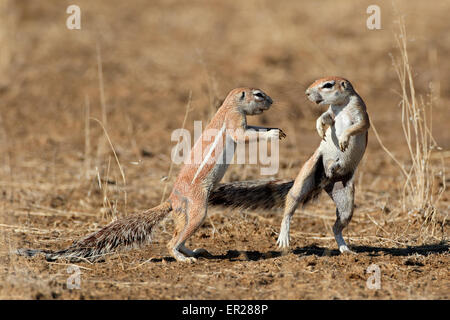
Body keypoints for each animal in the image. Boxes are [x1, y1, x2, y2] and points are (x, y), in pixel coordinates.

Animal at [19, 87, 284, 262]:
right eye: (258, 94)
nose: (272, 100)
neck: (229, 104)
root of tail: (172, 200)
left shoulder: (244, 121)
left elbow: (255, 129)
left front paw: (275, 129)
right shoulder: (235, 121)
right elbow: (244, 136)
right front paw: (272, 134)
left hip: (184, 215)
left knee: (178, 235)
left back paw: (192, 251)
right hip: (198, 209)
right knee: (171, 242)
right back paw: (184, 258)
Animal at [210, 76, 370, 254]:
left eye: (328, 85)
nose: (307, 93)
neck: (341, 105)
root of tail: (324, 181)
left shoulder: (360, 112)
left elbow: (358, 126)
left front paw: (343, 138)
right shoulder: (332, 112)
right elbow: (325, 116)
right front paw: (320, 127)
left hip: (345, 198)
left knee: (337, 226)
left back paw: (345, 249)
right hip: (306, 174)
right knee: (290, 207)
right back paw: (284, 236)